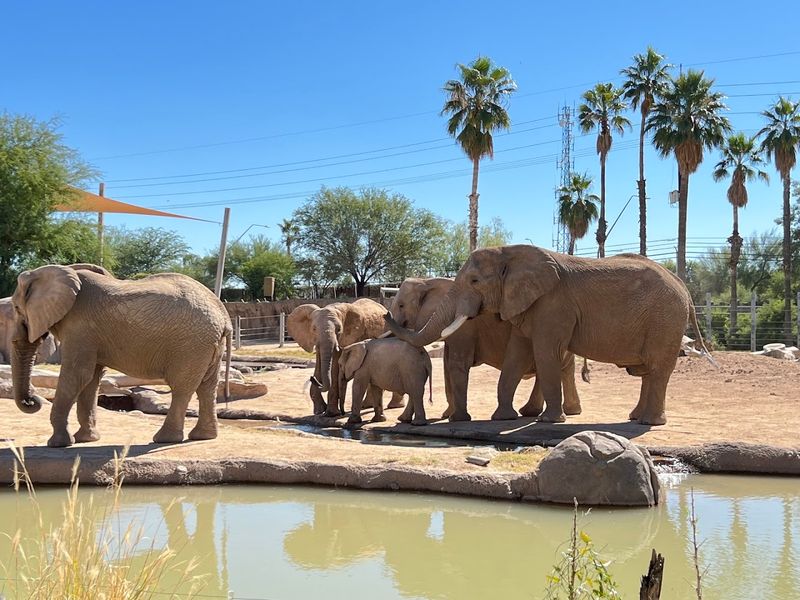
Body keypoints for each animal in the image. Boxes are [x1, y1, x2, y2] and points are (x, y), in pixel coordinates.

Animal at [10, 264, 232, 447]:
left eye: (16, 308)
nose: (32, 401)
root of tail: (224, 316)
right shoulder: (89, 335)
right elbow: (91, 378)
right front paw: (86, 440)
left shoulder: (80, 328)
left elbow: (77, 375)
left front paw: (57, 444)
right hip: (207, 344)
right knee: (207, 387)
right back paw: (203, 437)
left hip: (191, 345)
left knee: (182, 388)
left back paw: (164, 439)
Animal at [389, 277, 581, 421]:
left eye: (401, 305)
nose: (387, 315)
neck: (426, 281)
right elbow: (447, 365)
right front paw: (448, 415)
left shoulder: (465, 327)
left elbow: (457, 364)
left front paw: (456, 418)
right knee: (561, 367)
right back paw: (566, 411)